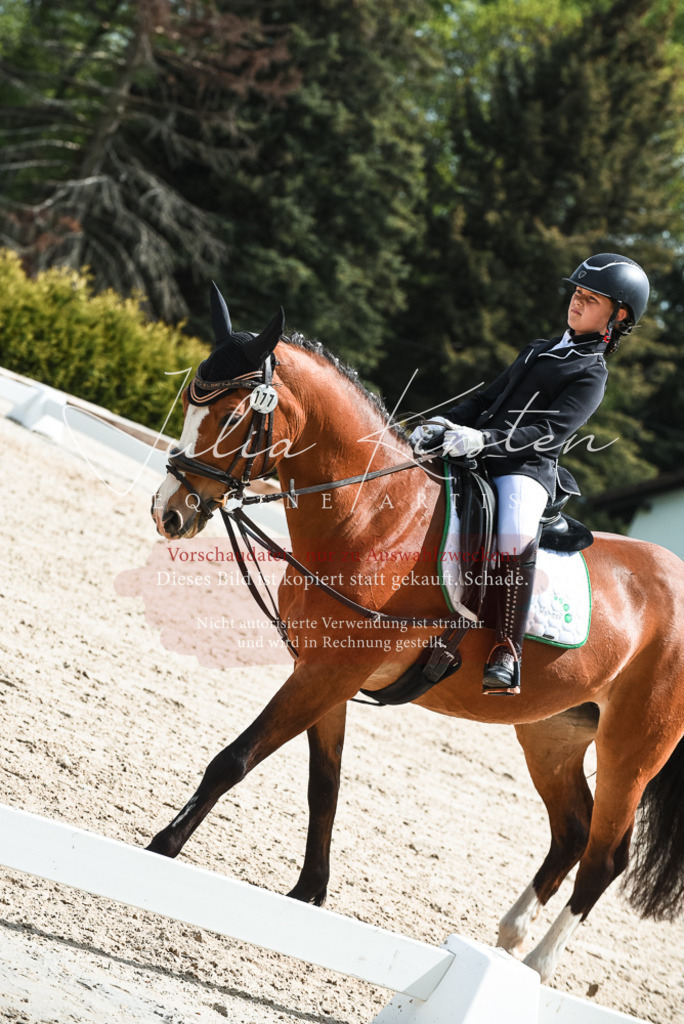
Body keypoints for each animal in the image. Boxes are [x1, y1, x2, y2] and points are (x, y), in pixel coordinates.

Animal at [149, 289, 684, 983]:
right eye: (190, 401)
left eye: (235, 415)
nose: (168, 513)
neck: (376, 516)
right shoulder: (324, 674)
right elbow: (324, 787)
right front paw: (306, 897)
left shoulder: (327, 674)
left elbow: (233, 761)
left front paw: (161, 849)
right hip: (553, 730)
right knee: (572, 828)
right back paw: (508, 940)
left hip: (634, 747)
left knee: (605, 856)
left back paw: (536, 968)